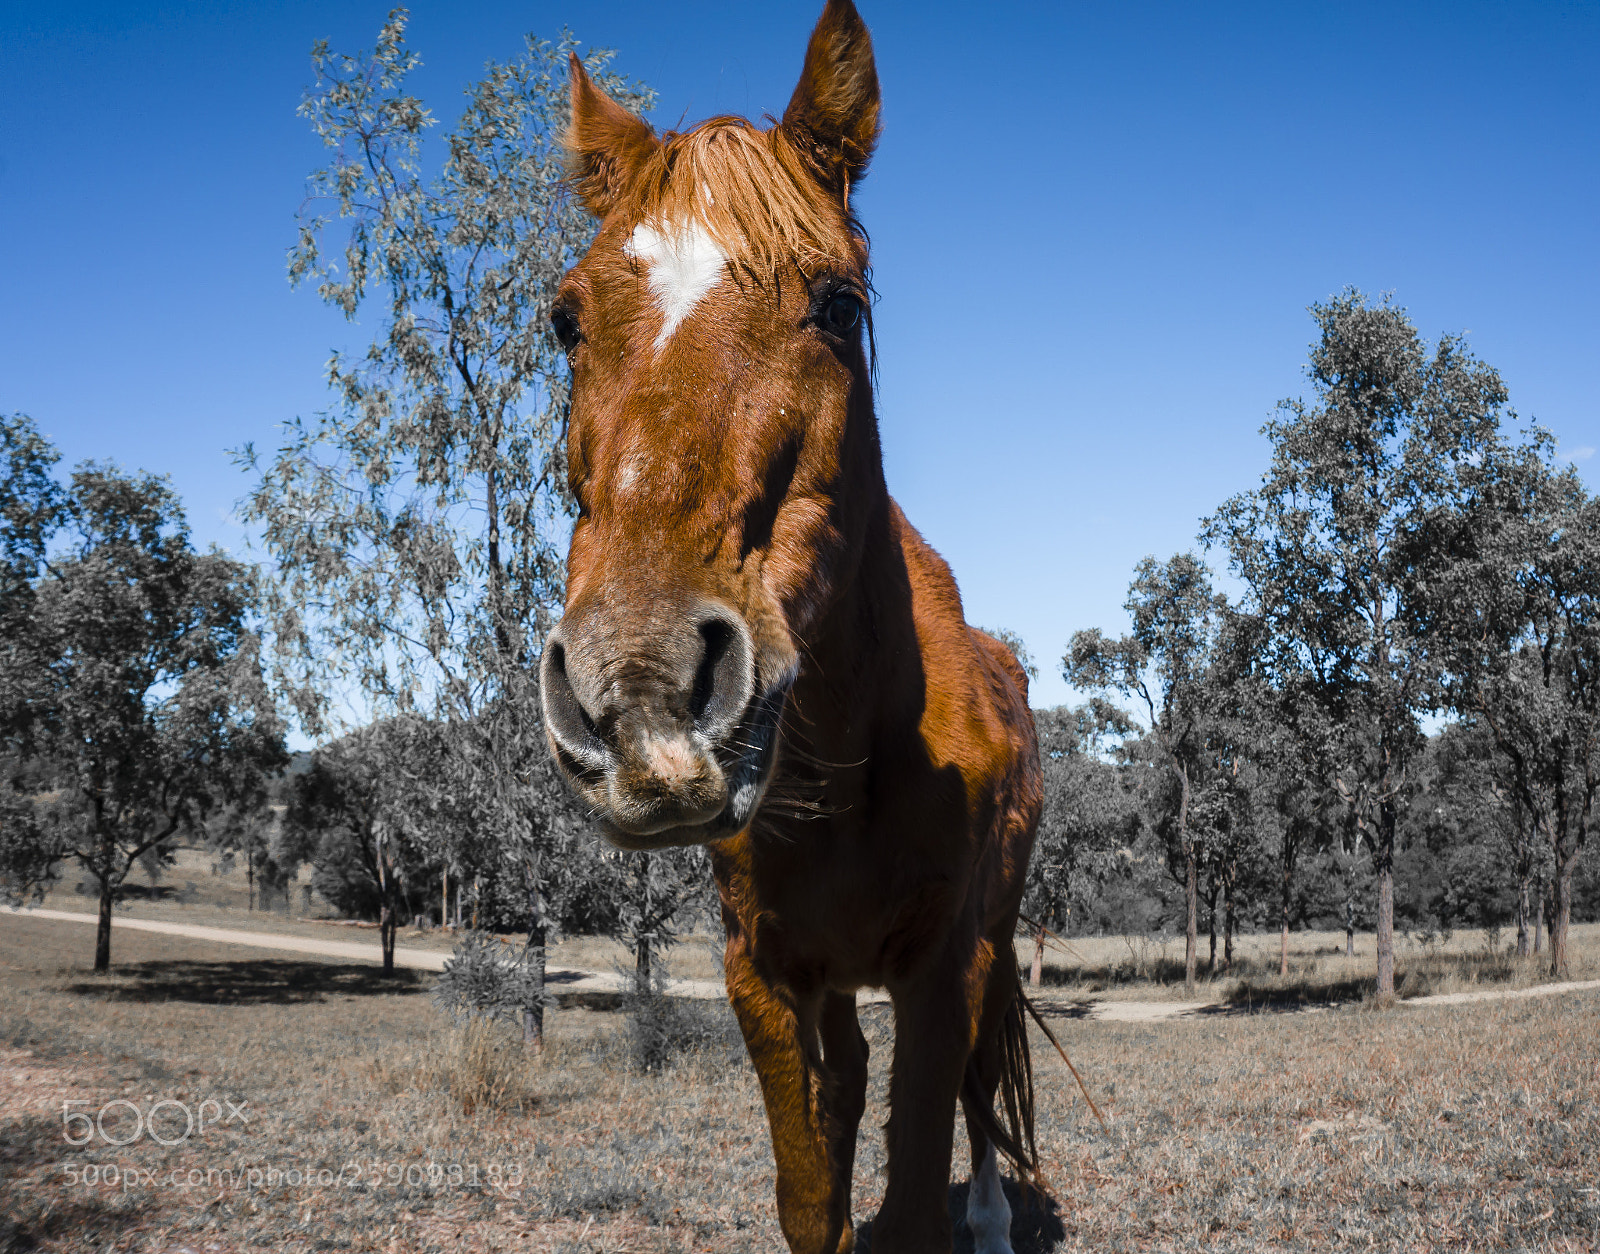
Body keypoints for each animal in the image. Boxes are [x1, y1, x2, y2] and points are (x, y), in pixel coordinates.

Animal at [540, 4, 1044, 1250]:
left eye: (839, 305)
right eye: (563, 321)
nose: (642, 691)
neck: (851, 751)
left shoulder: (943, 971)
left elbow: (915, 1184)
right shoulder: (763, 978)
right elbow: (810, 1193)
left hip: (991, 943)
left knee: (979, 1097)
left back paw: (994, 1216)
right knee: (852, 1084)